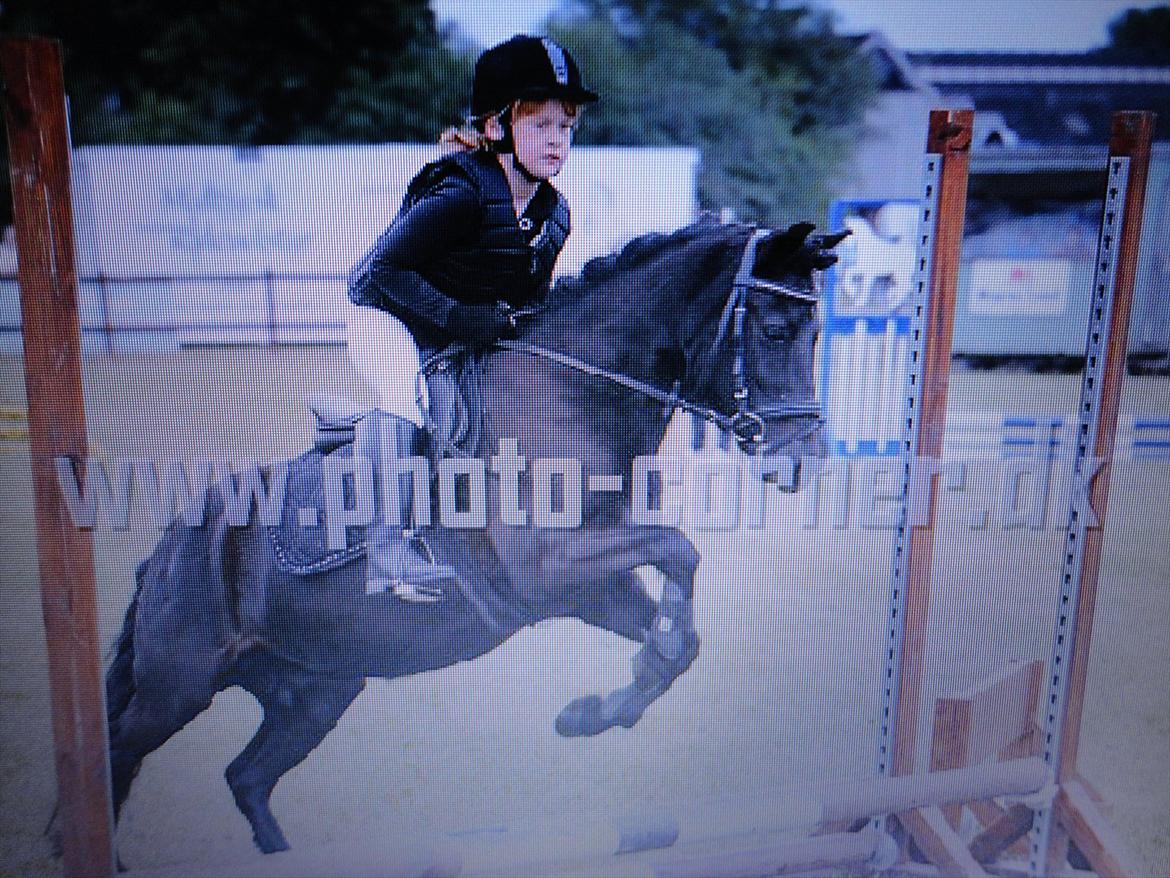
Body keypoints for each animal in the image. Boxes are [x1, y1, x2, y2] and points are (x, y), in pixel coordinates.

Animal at [104, 216, 846, 855]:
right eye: (777, 329)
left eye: (815, 331)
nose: (802, 461)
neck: (572, 393)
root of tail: (164, 551)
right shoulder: (550, 565)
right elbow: (680, 551)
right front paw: (611, 697)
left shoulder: (584, 584)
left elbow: (678, 637)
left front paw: (595, 710)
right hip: (180, 685)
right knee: (120, 751)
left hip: (316, 689)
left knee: (248, 778)